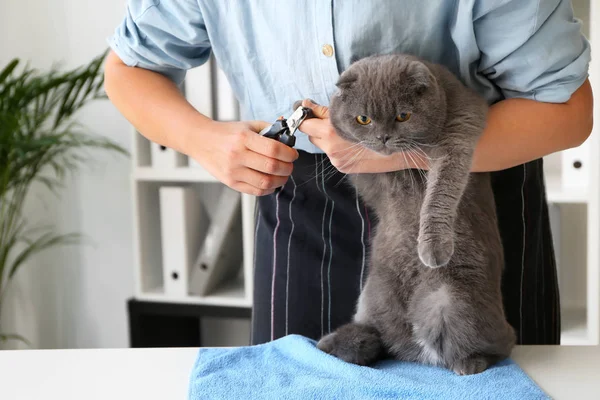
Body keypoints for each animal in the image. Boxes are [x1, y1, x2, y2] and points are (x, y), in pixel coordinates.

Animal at [312, 53, 512, 376]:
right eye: (363, 119)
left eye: (403, 116)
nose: (383, 138)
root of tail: (413, 346)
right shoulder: (370, 180)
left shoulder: (459, 132)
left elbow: (441, 190)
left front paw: (432, 248)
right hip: (371, 295)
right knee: (376, 338)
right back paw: (334, 343)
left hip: (453, 302)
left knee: (498, 343)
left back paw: (469, 362)